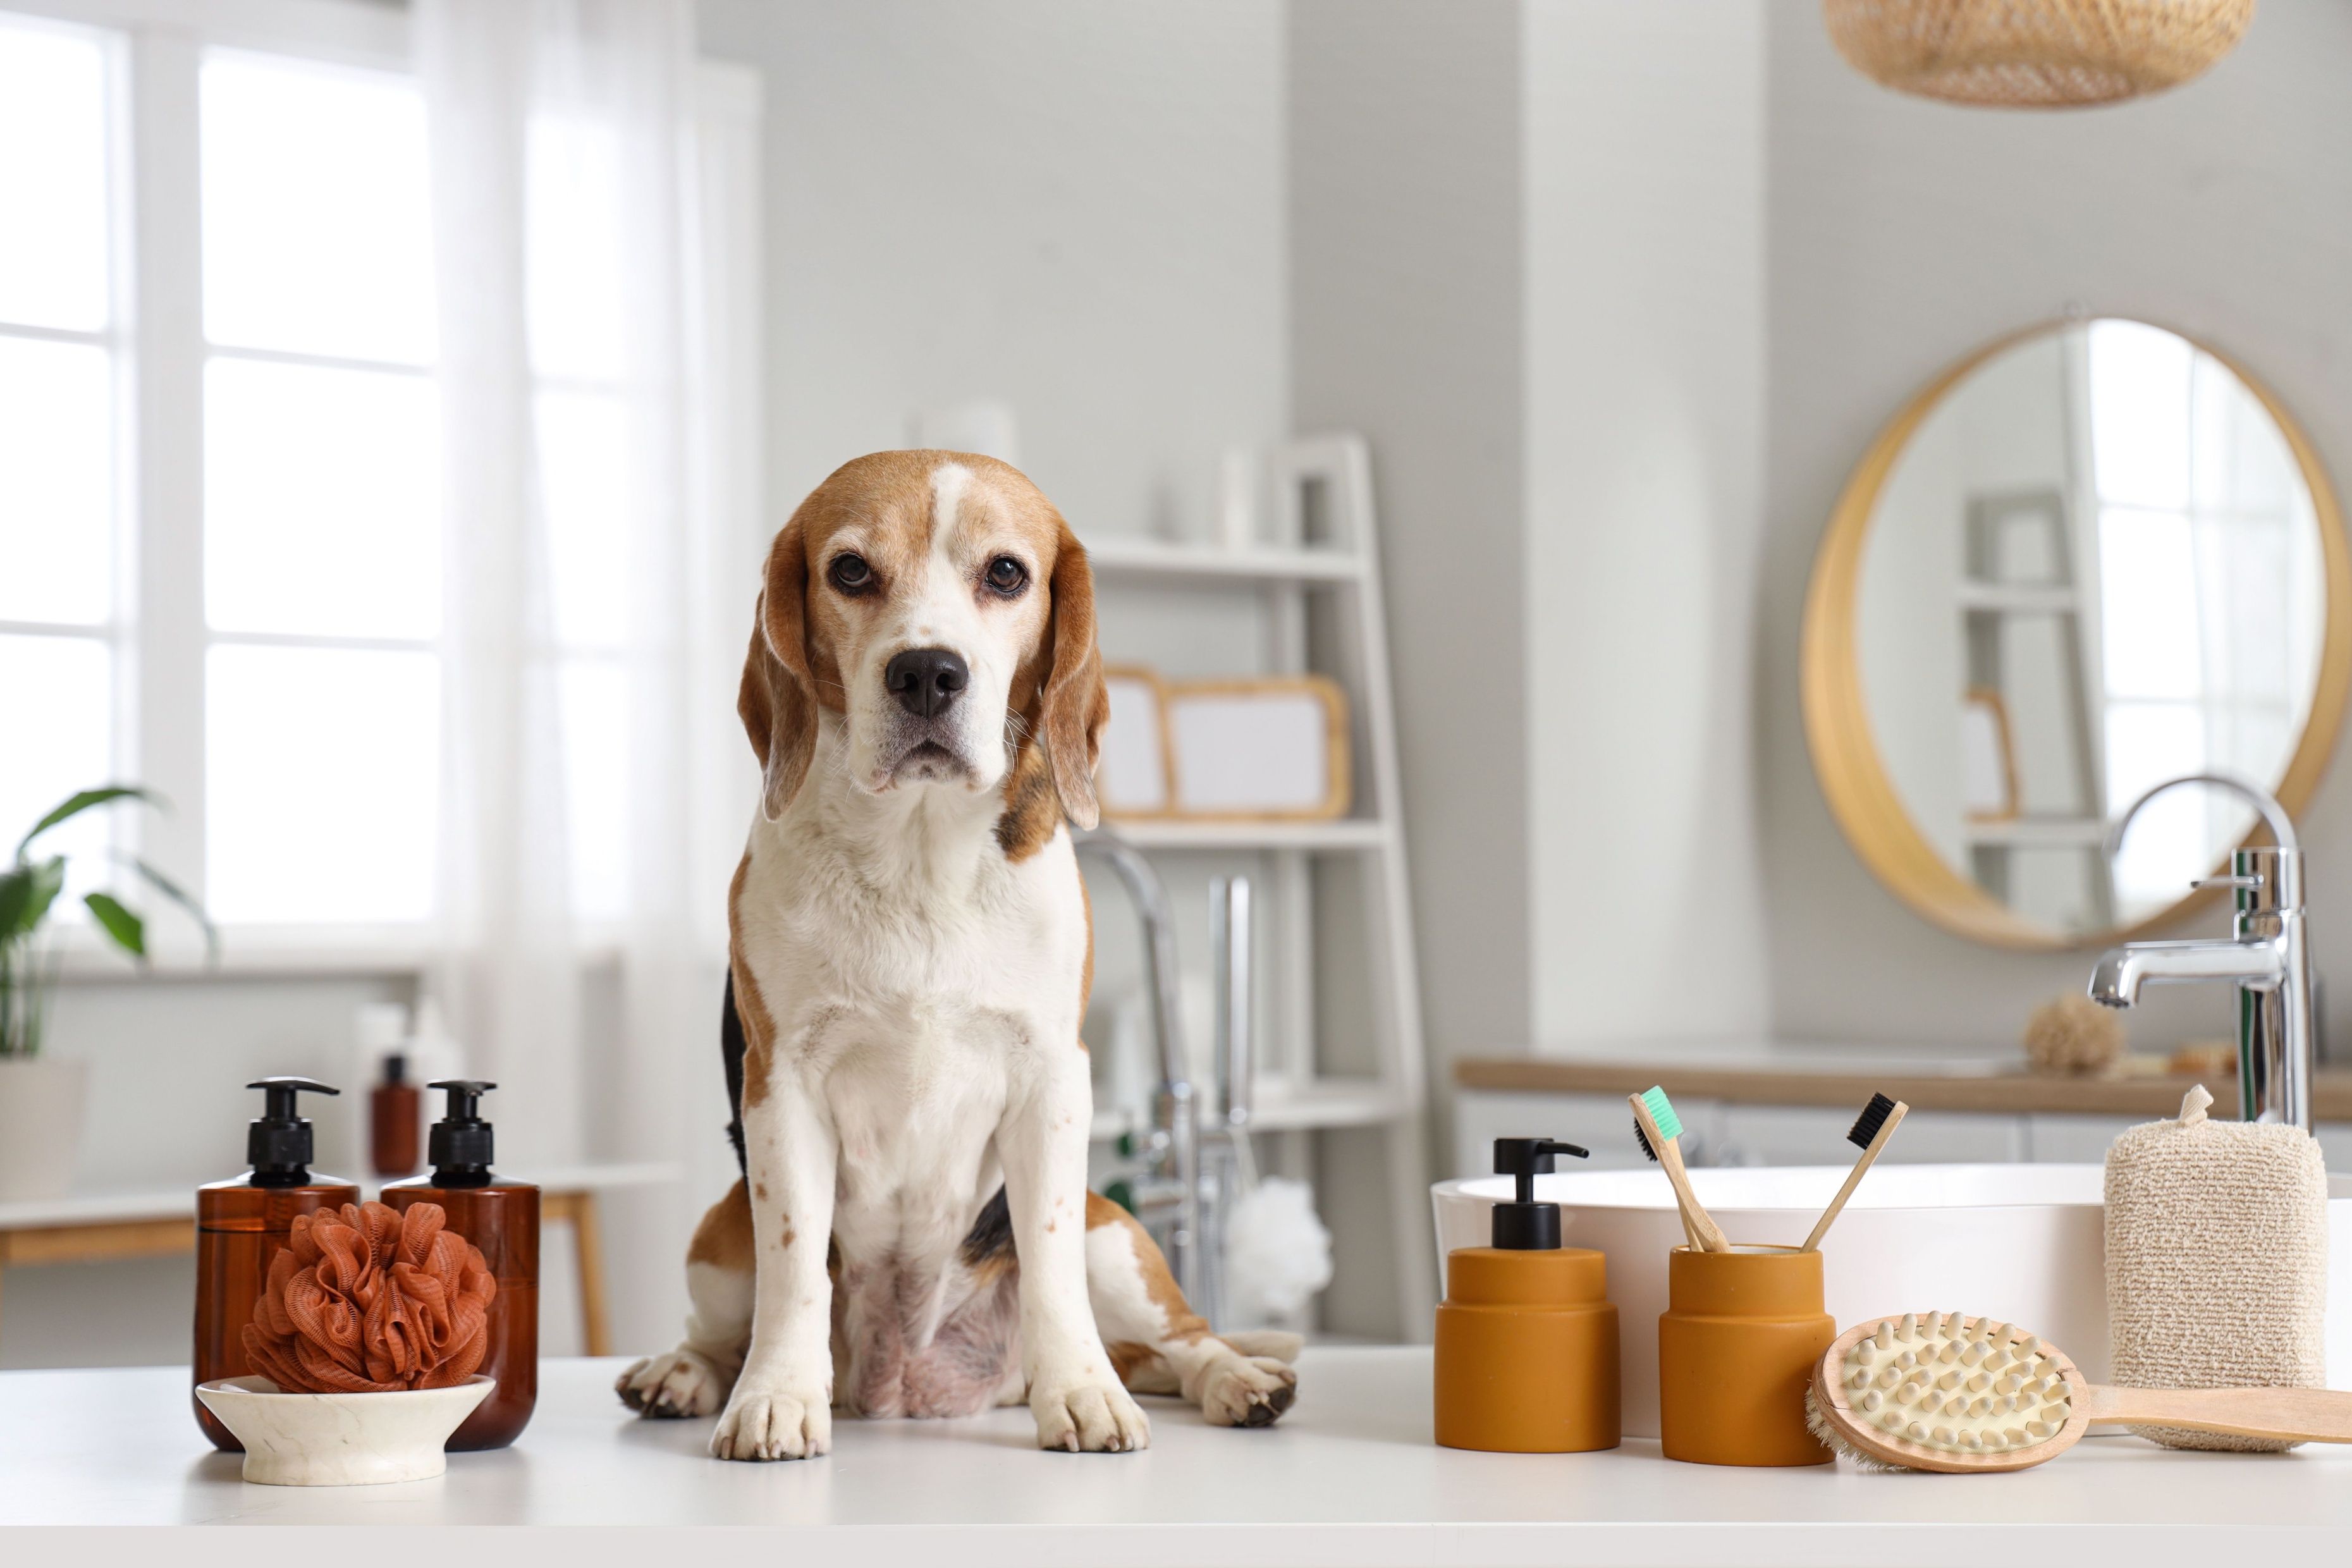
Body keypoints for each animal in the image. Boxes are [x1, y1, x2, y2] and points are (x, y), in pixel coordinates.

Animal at [616, 444, 1298, 1457]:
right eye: (850, 571)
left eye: (1007, 574)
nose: (928, 673)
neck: (918, 851)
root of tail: (908, 1386)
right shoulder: (782, 1086)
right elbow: (796, 1270)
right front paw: (776, 1396)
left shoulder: (1054, 1080)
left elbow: (1050, 1261)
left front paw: (1083, 1395)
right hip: (719, 1230)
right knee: (724, 1323)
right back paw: (687, 1373)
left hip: (1114, 1231)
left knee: (1183, 1337)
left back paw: (1236, 1379)